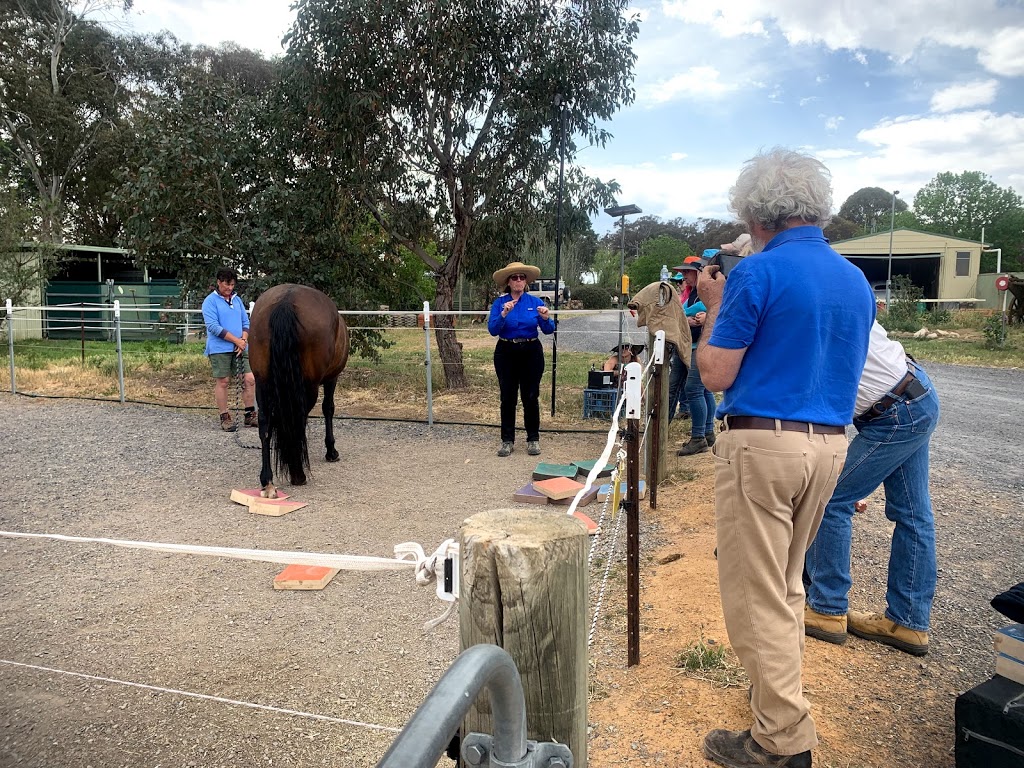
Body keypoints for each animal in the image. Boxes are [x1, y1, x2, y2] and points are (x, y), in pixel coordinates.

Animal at [245, 284, 350, 499]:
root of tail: (285, 301)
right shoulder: (332, 378)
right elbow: (328, 409)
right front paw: (331, 451)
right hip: (307, 387)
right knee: (298, 419)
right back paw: (298, 473)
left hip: (262, 382)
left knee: (265, 423)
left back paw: (268, 481)